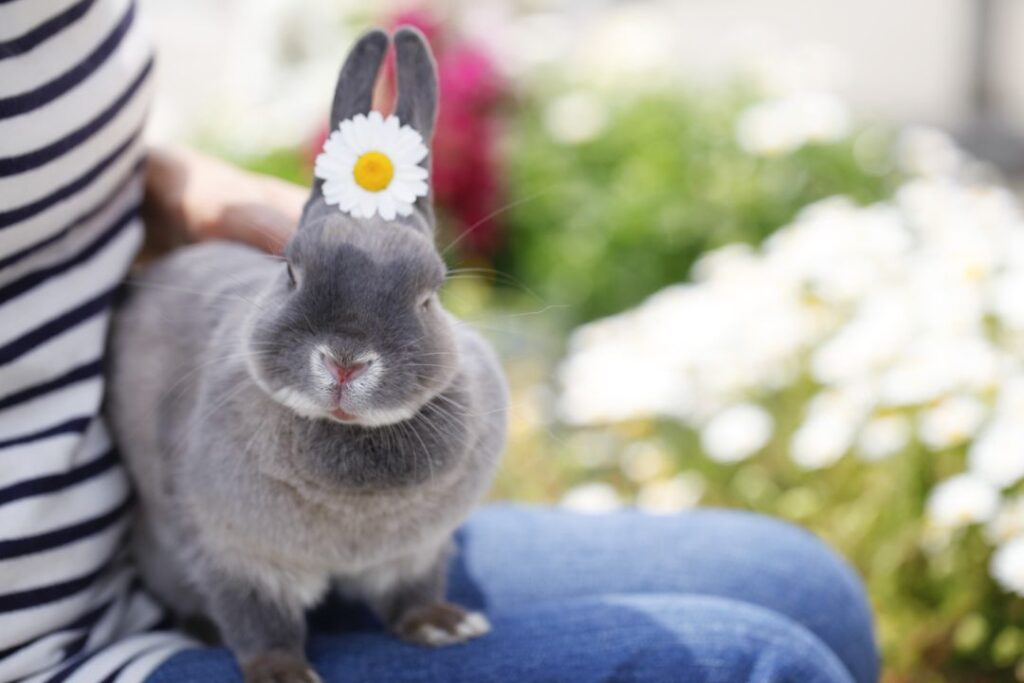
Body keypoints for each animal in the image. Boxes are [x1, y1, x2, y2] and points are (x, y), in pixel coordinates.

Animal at [105, 27, 507, 683]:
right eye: (292, 272)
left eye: (429, 296)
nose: (345, 361)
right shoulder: (236, 555)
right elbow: (259, 621)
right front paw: (282, 673)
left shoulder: (416, 552)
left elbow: (412, 592)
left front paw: (444, 626)